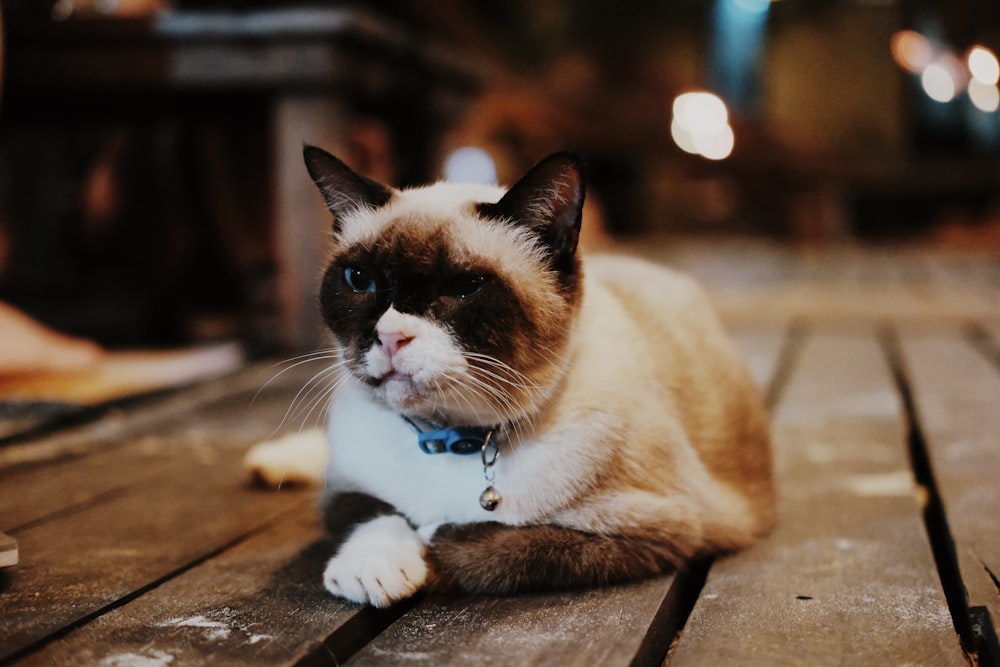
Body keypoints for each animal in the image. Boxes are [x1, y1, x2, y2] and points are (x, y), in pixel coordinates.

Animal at [246, 147, 776, 612]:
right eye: (360, 280)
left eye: (465, 287)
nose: (391, 336)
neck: (451, 438)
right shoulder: (342, 489)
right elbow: (373, 511)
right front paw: (370, 569)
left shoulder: (659, 533)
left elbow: (498, 548)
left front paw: (426, 544)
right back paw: (271, 462)